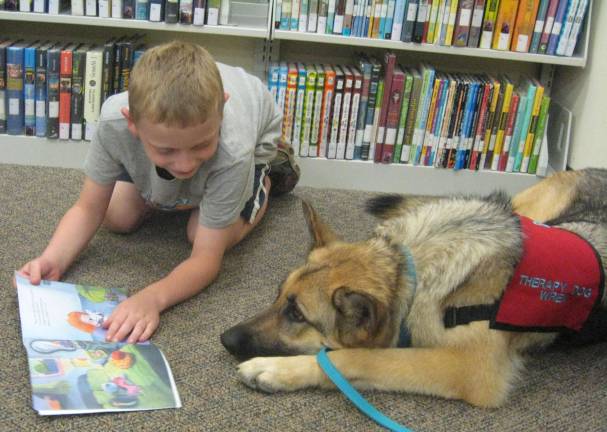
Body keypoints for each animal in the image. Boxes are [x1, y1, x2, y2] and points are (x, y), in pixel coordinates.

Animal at [222, 169, 607, 408]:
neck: (412, 271)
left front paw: (274, 369)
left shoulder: (469, 369)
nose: (225, 338)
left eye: (297, 314)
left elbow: (356, 357)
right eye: (278, 296)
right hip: (519, 209)